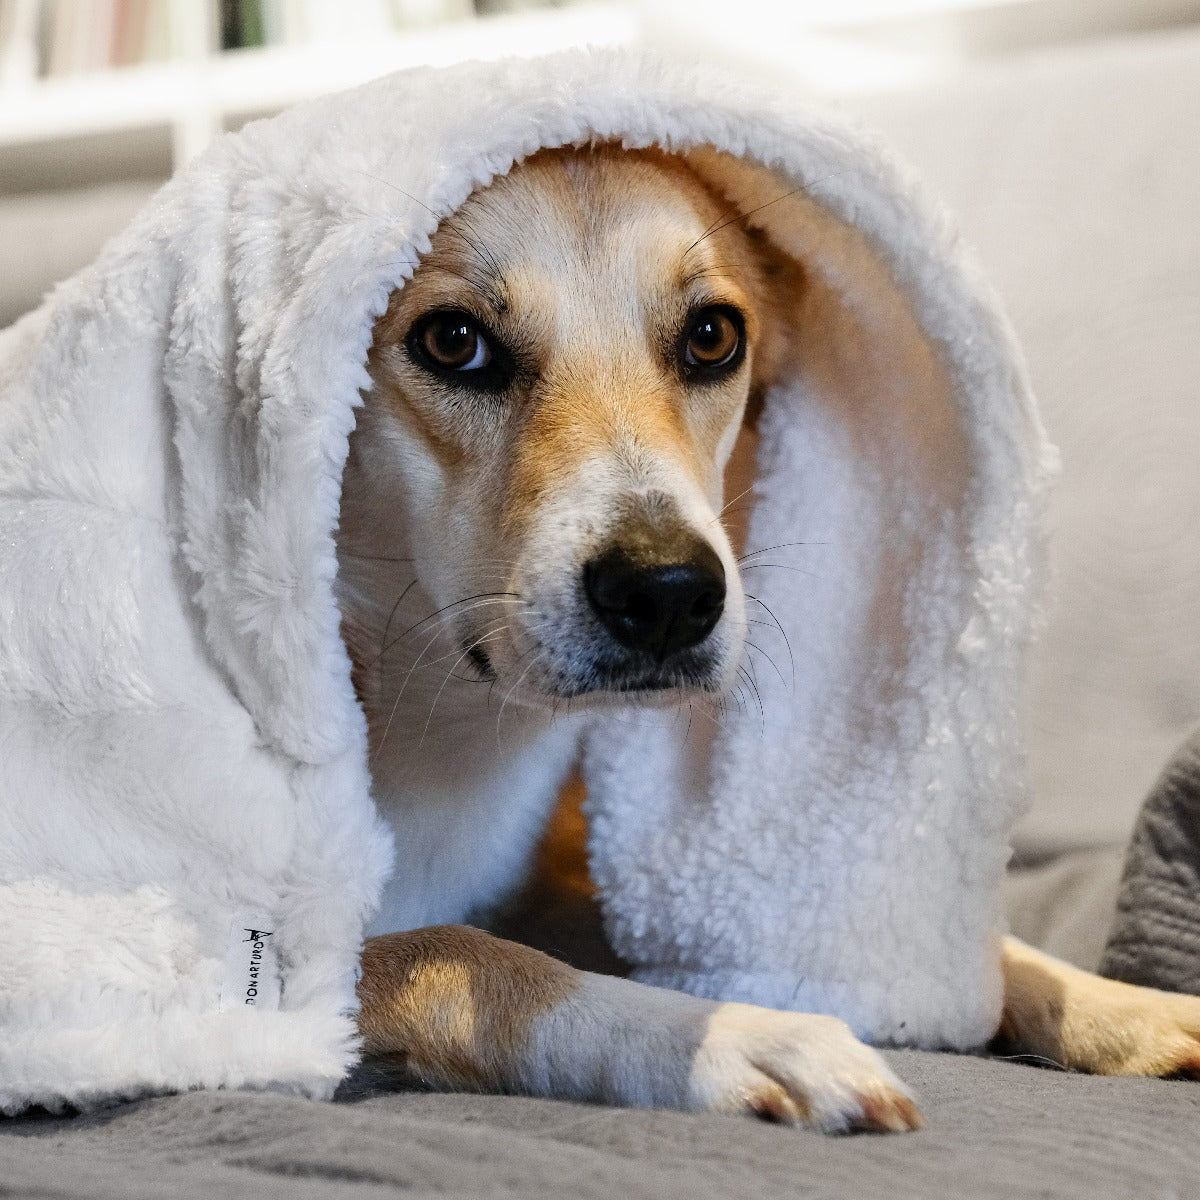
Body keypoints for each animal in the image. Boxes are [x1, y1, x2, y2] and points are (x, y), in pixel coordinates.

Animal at [331, 145, 1200, 1128]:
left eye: (712, 336)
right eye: (453, 341)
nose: (668, 594)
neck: (443, 727)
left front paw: (1116, 1003)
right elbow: (466, 953)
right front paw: (739, 1034)